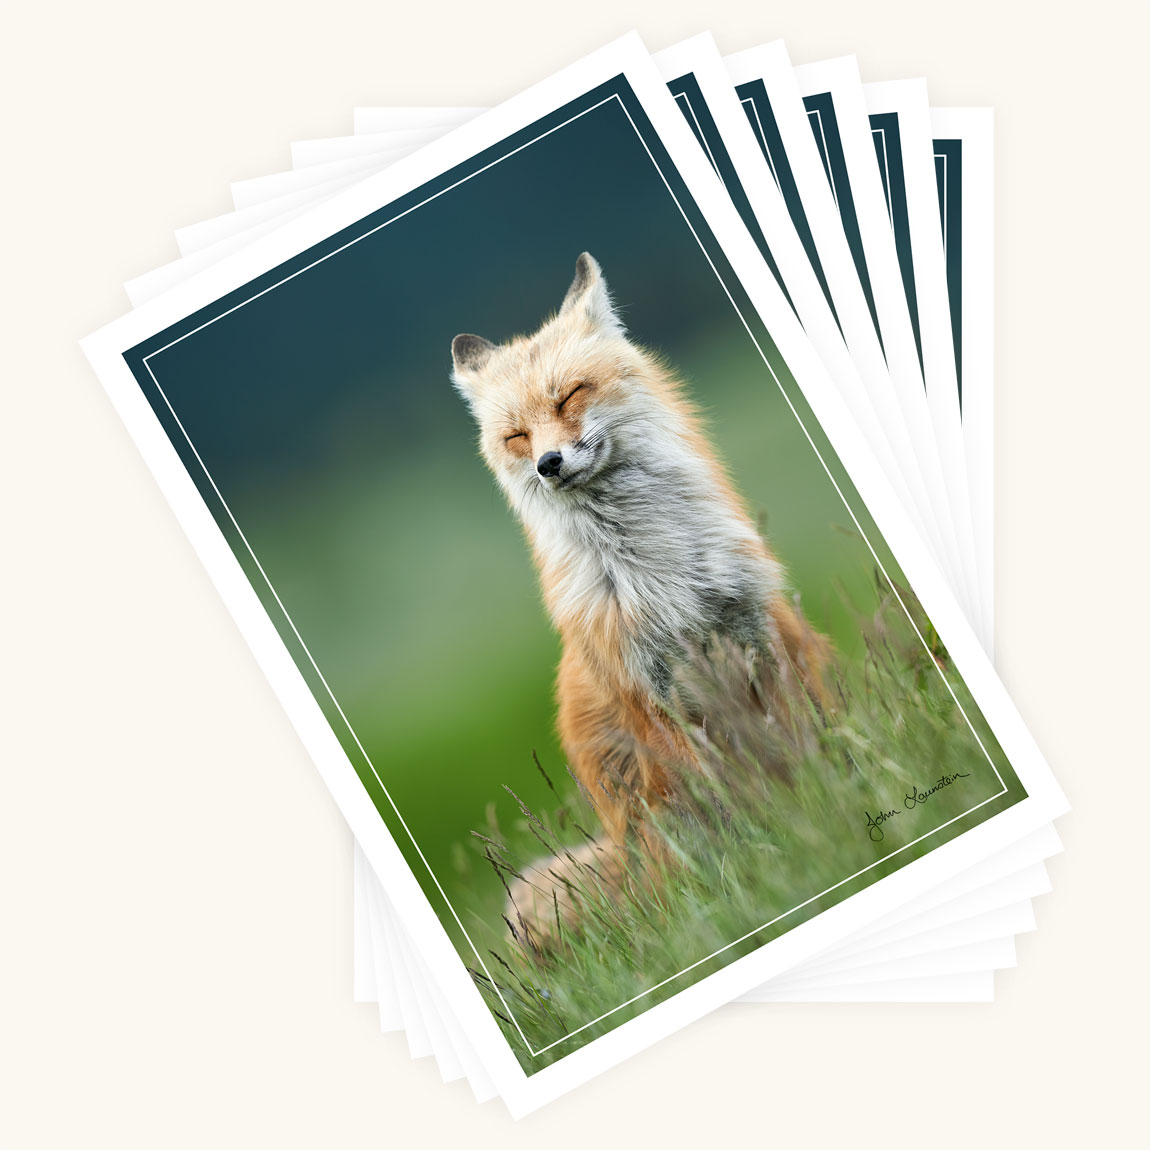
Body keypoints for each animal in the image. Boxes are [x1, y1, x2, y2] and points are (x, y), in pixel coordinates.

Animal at [450, 253, 829, 946]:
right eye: (516, 436)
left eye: (569, 395)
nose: (547, 463)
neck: (666, 571)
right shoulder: (649, 689)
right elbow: (726, 791)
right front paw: (775, 851)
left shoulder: (757, 633)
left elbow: (801, 741)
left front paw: (825, 801)